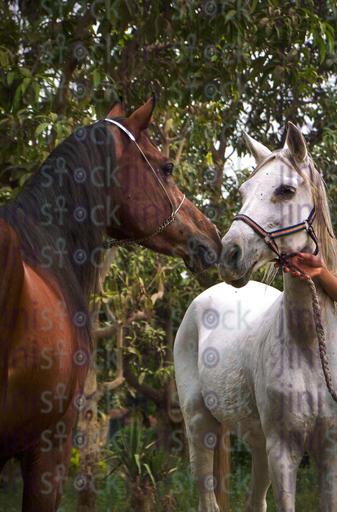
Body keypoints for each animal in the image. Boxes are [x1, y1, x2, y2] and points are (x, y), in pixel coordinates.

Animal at [175, 122, 336, 510]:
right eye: (243, 191)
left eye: (286, 190)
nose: (229, 255)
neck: (309, 346)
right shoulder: (283, 452)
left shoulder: (328, 454)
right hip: (200, 425)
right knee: (207, 497)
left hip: (259, 444)